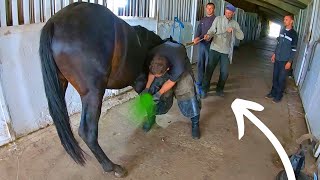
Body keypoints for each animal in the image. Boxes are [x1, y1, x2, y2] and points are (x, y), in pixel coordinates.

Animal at [39, 2, 164, 178]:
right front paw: (150, 122)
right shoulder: (140, 81)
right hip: (93, 93)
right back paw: (111, 166)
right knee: (87, 132)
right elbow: (146, 99)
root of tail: (54, 23)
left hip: (61, 85)